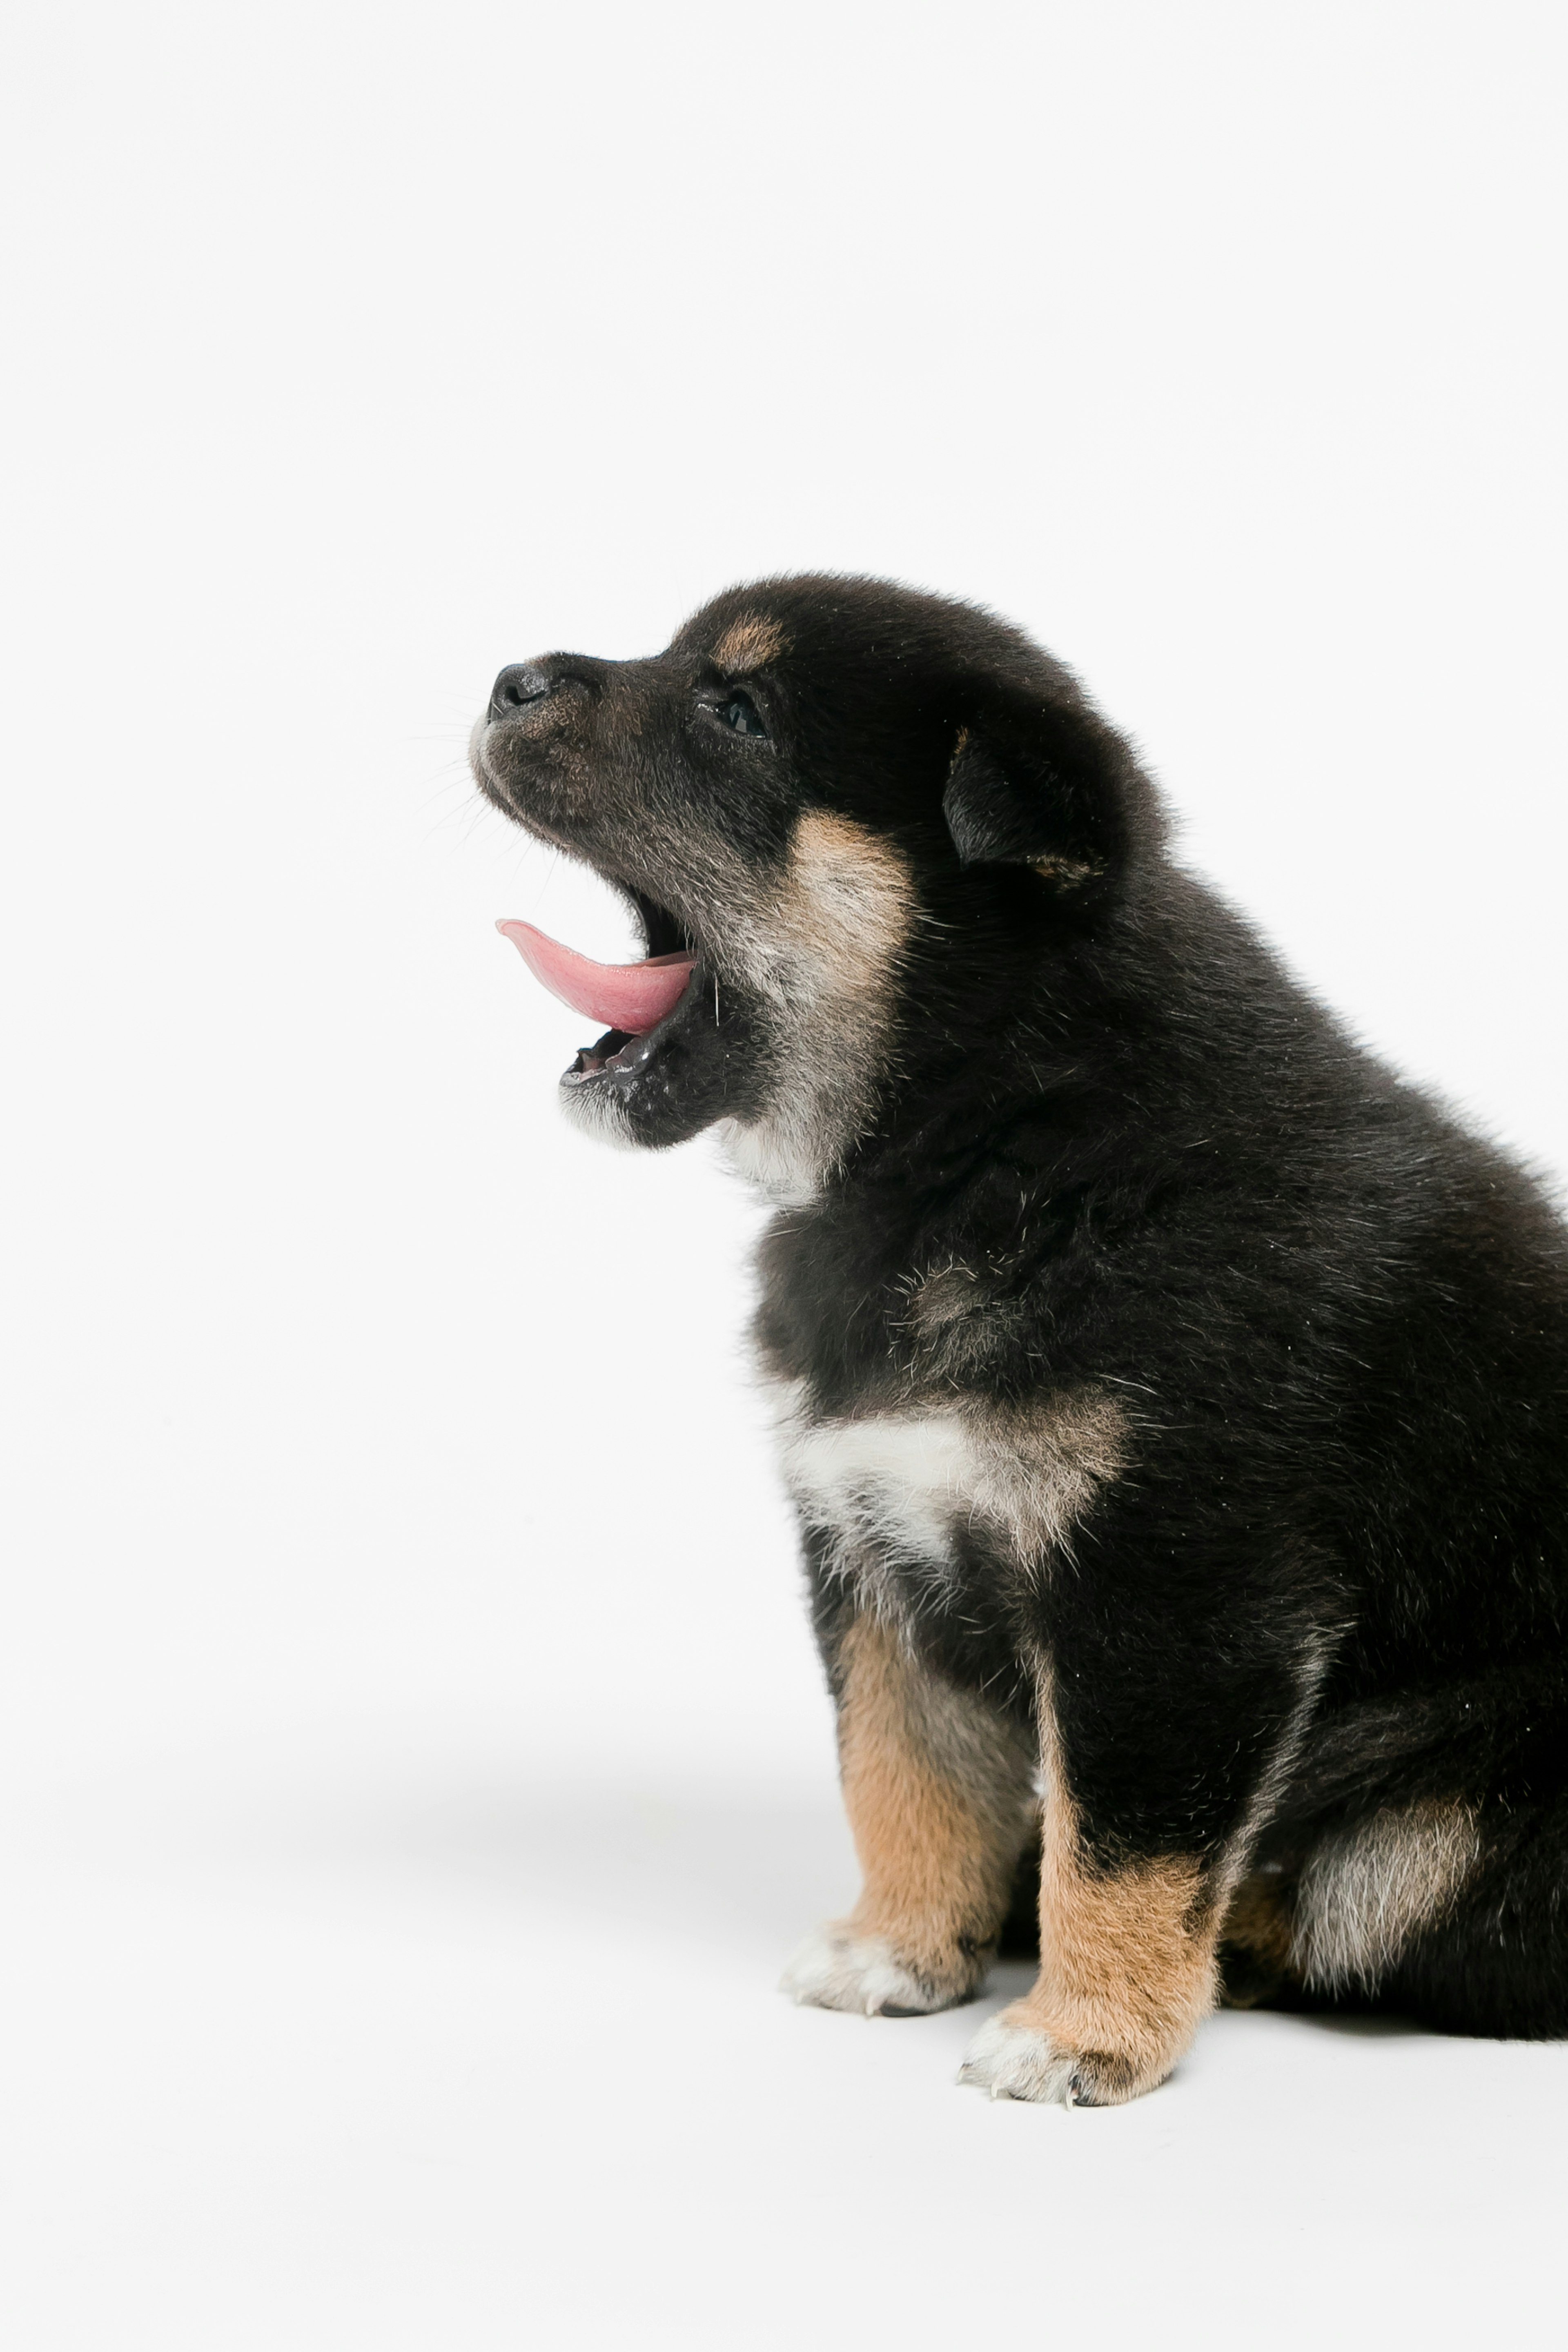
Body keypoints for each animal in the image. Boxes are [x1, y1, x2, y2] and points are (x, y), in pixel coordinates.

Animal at [472, 578, 1568, 2107]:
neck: (999, 1135)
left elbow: (1128, 1838)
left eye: (737, 713)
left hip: (1465, 1804)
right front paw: (899, 1948)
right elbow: (899, 1768)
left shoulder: (1178, 1585)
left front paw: (1086, 2030)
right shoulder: (870, 1536)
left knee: (1393, 1913)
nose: (507, 680)